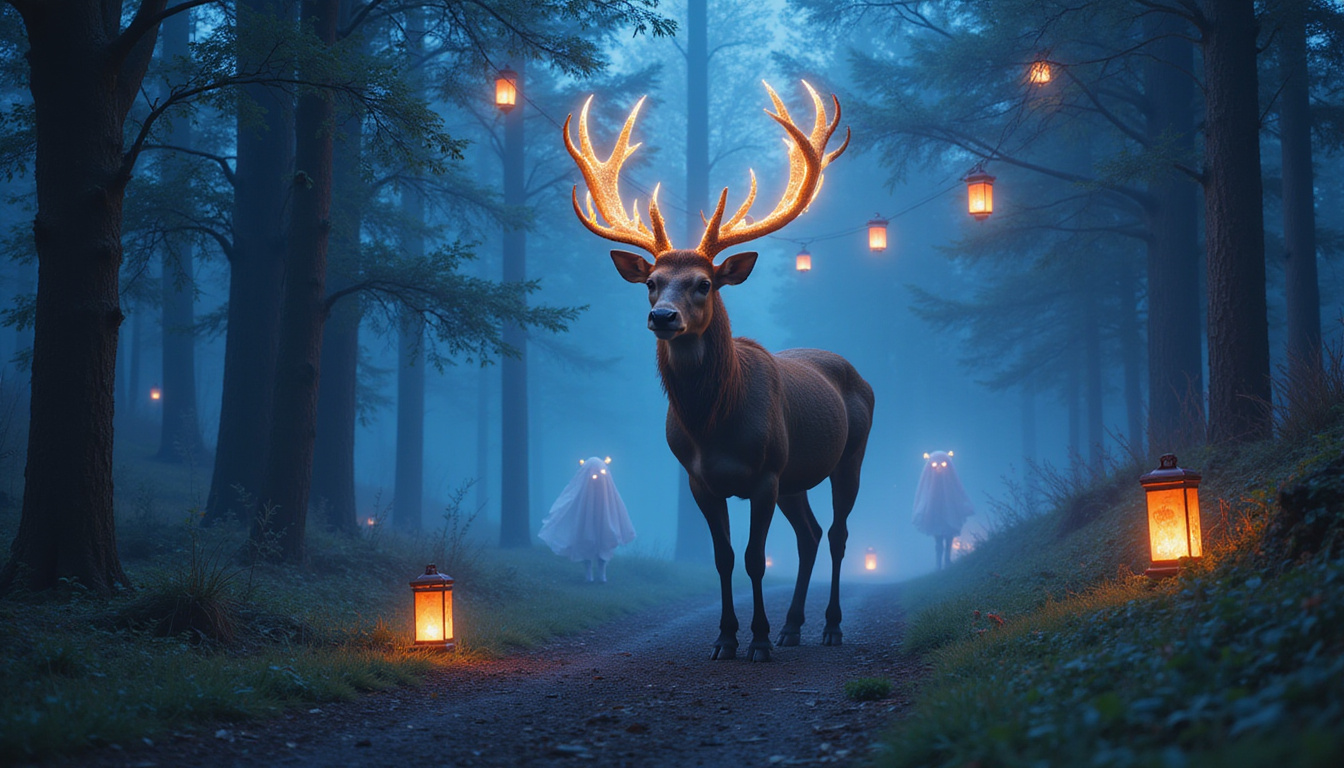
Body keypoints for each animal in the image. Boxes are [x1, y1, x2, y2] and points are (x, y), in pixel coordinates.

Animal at [563, 82, 875, 662]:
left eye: (704, 283)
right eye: (651, 283)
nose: (663, 317)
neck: (714, 423)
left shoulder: (766, 473)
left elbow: (754, 557)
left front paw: (758, 642)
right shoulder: (700, 479)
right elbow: (723, 558)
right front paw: (727, 639)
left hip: (851, 453)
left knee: (838, 533)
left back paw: (829, 627)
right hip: (798, 474)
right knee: (810, 534)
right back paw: (793, 627)